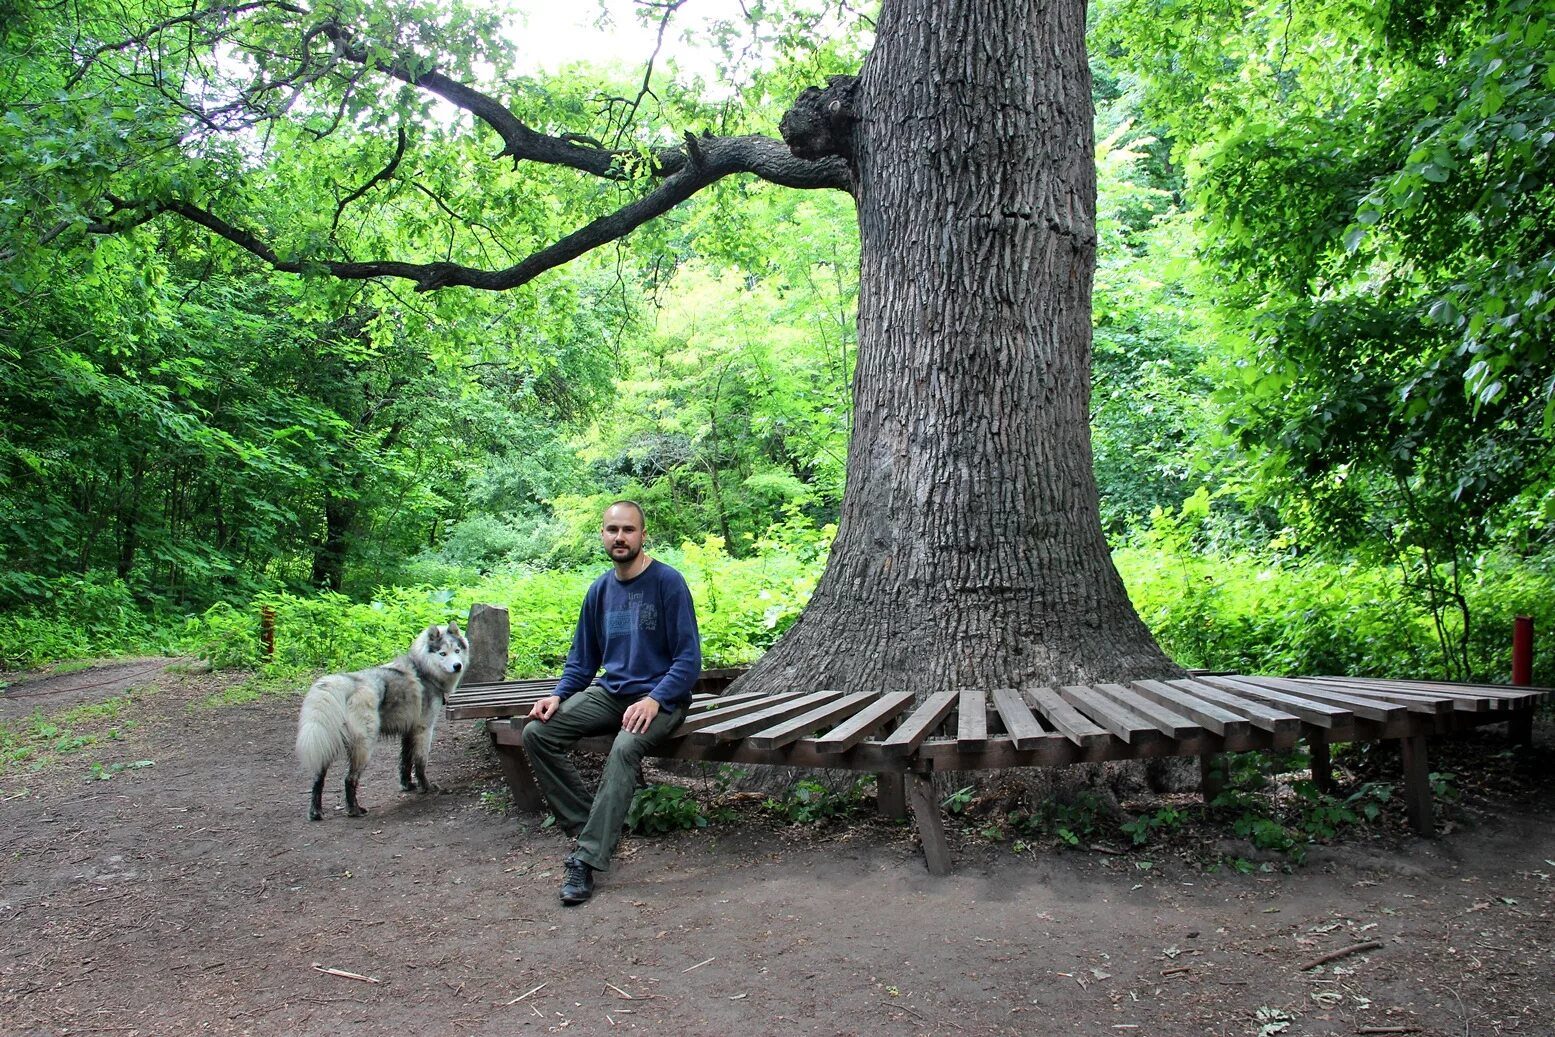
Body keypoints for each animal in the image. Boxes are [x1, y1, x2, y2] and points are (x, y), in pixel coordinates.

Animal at [293, 621, 466, 820]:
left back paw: (316, 812)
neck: (424, 670)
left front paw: (407, 785)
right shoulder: (424, 729)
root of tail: (346, 682)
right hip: (364, 746)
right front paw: (426, 787)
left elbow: (406, 761)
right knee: (349, 779)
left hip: (327, 744)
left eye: (457, 650)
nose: (457, 666)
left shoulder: (408, 731)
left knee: (318, 778)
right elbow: (421, 762)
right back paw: (354, 810)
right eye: (442, 653)